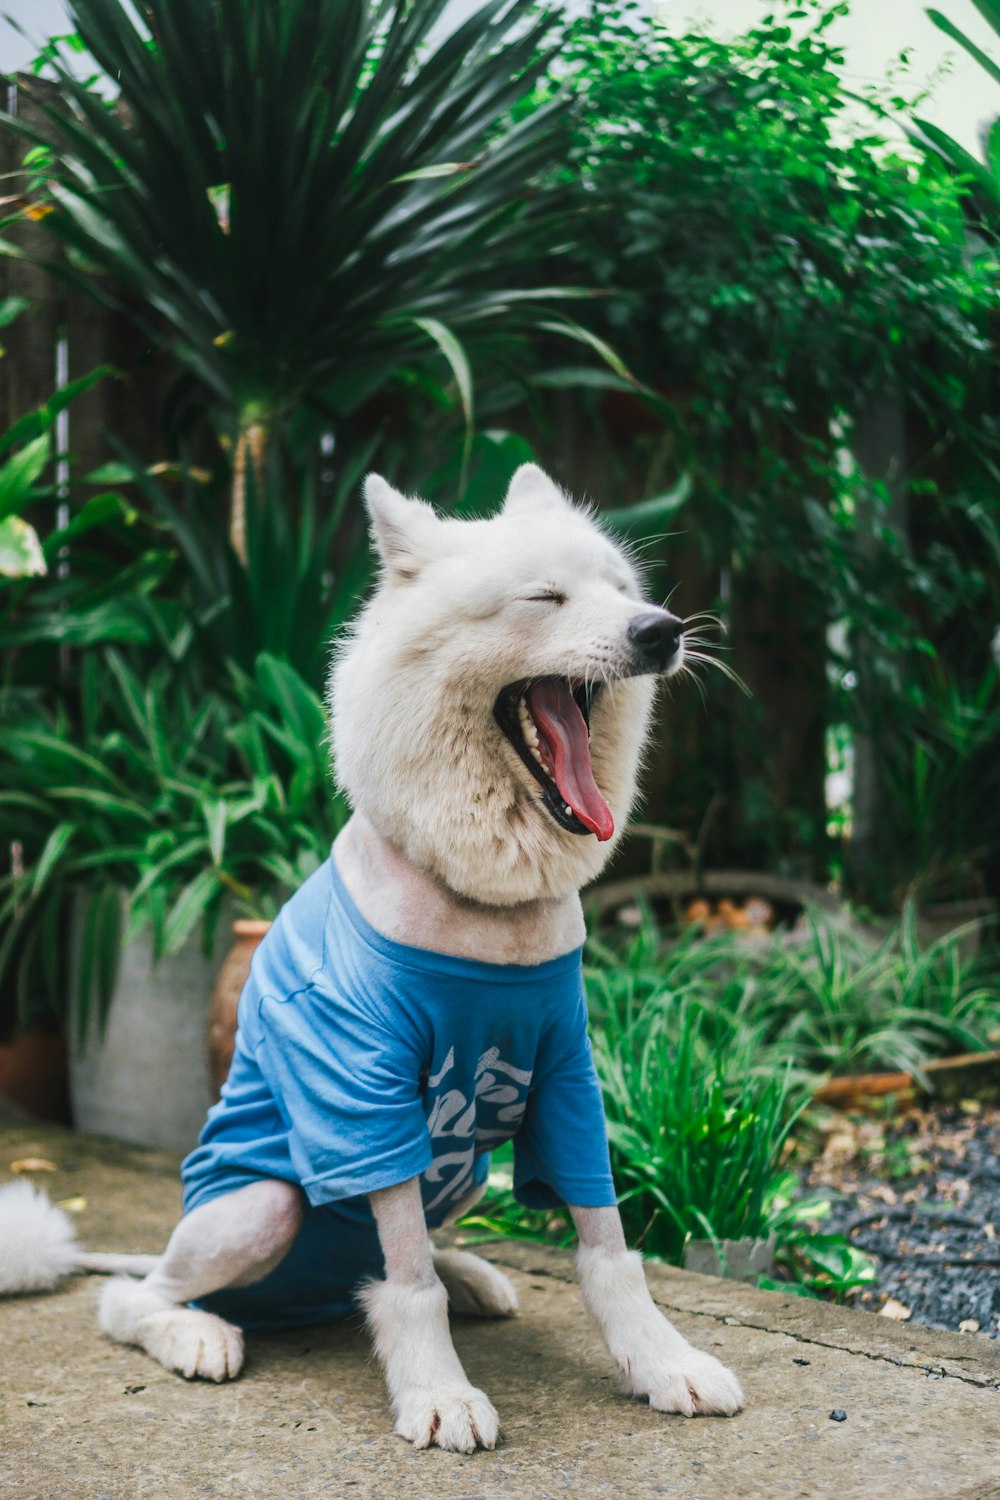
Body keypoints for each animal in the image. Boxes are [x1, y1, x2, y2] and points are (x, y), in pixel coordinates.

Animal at [1, 468, 743, 1452]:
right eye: (544, 597)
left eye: (623, 590)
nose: (660, 630)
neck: (486, 910)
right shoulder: (364, 1095)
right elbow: (408, 1284)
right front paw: (437, 1392)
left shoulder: (567, 1078)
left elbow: (609, 1250)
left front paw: (663, 1364)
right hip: (254, 1208)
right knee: (134, 1297)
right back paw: (200, 1331)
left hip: (465, 1174)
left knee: (392, 1258)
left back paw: (468, 1275)